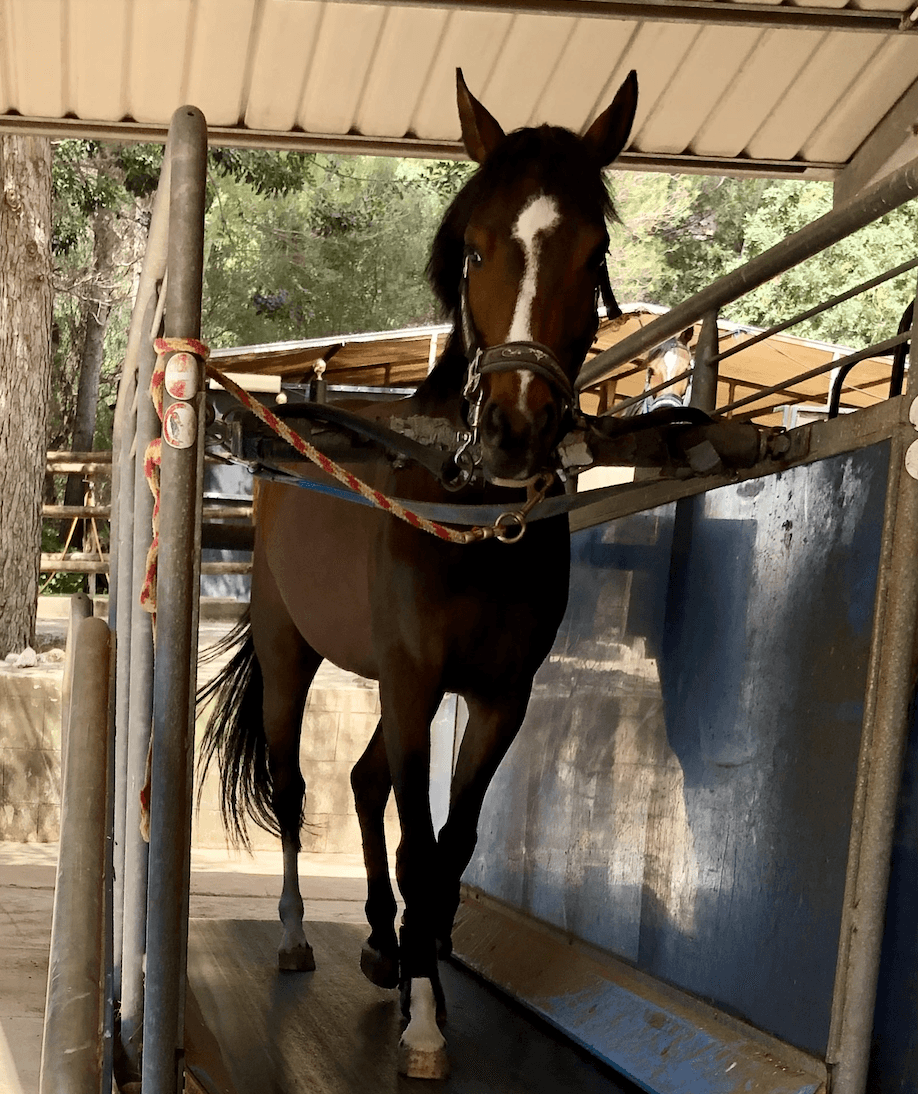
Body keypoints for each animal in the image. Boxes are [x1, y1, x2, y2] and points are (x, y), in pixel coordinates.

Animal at [199, 70, 638, 1085]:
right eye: (475, 249)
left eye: (592, 251)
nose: (517, 433)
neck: (470, 523)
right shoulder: (412, 681)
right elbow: (416, 838)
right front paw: (426, 1019)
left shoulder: (496, 697)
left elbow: (452, 847)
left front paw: (419, 976)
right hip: (293, 658)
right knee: (298, 789)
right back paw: (298, 935)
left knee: (363, 785)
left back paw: (379, 942)